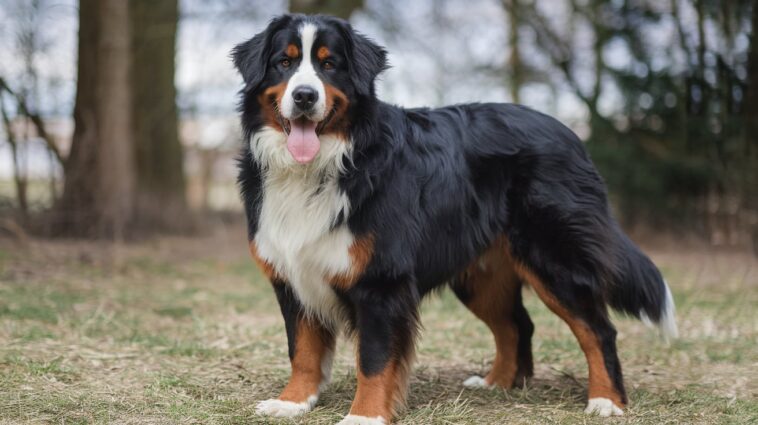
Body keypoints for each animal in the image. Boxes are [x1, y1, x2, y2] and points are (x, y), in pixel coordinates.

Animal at [235, 14, 680, 424]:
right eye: (284, 62)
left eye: (330, 65)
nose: (305, 96)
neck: (329, 162)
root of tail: (571, 134)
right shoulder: (293, 274)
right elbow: (303, 350)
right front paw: (293, 402)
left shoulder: (381, 281)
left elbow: (374, 359)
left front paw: (364, 416)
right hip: (480, 274)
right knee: (516, 325)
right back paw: (497, 383)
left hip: (555, 261)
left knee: (597, 329)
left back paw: (605, 400)